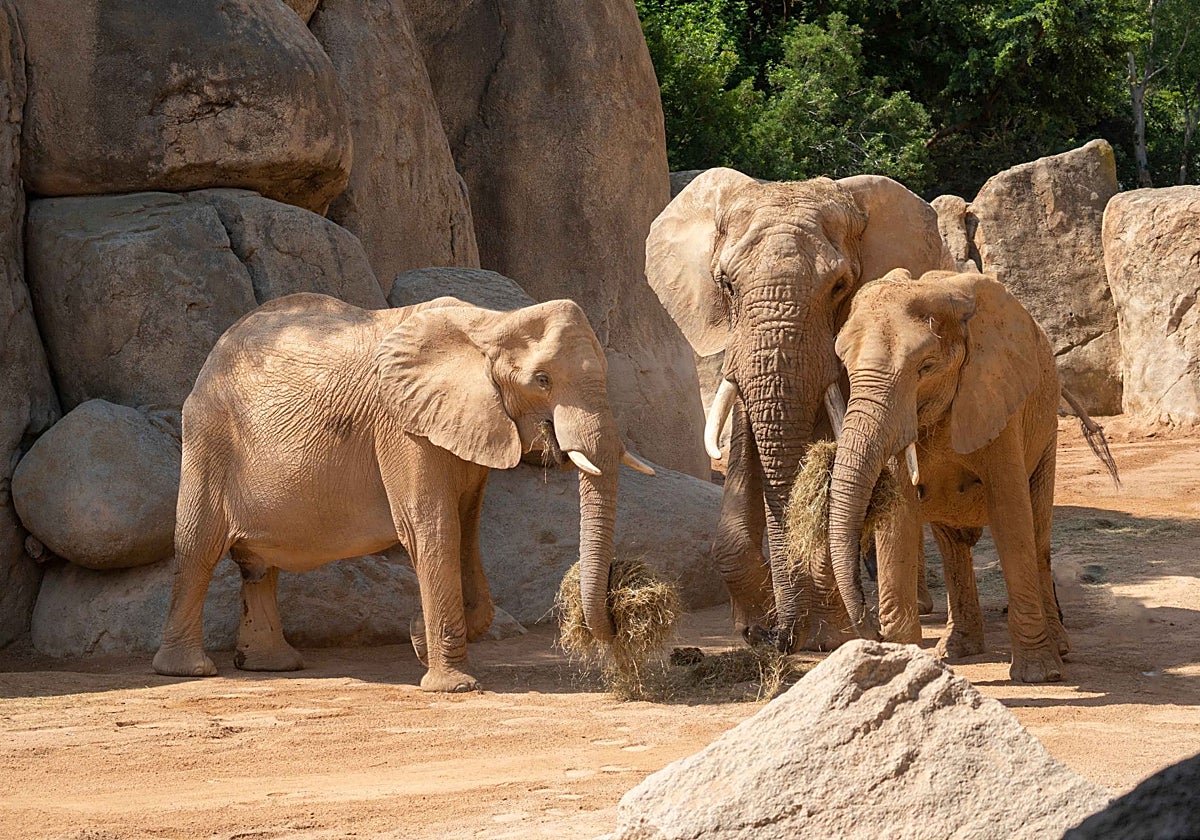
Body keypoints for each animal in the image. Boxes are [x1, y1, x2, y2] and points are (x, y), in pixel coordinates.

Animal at [152, 293, 654, 692]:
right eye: (543, 381)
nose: (617, 607)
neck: (491, 323)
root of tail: (213, 354)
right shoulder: (400, 424)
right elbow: (431, 526)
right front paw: (453, 685)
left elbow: (467, 531)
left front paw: (418, 639)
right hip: (208, 436)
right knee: (198, 547)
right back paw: (189, 671)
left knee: (259, 567)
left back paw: (272, 666)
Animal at [645, 168, 954, 651]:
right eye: (726, 284)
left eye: (839, 287)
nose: (781, 637)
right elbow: (745, 457)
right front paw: (753, 630)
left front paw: (832, 639)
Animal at [827, 268, 1068, 682]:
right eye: (845, 363)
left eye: (925, 367)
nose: (870, 626)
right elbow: (898, 518)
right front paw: (900, 660)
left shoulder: (996, 396)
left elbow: (1011, 515)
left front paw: (1038, 674)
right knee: (953, 545)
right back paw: (955, 651)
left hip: (1047, 425)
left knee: (1038, 534)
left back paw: (1061, 651)